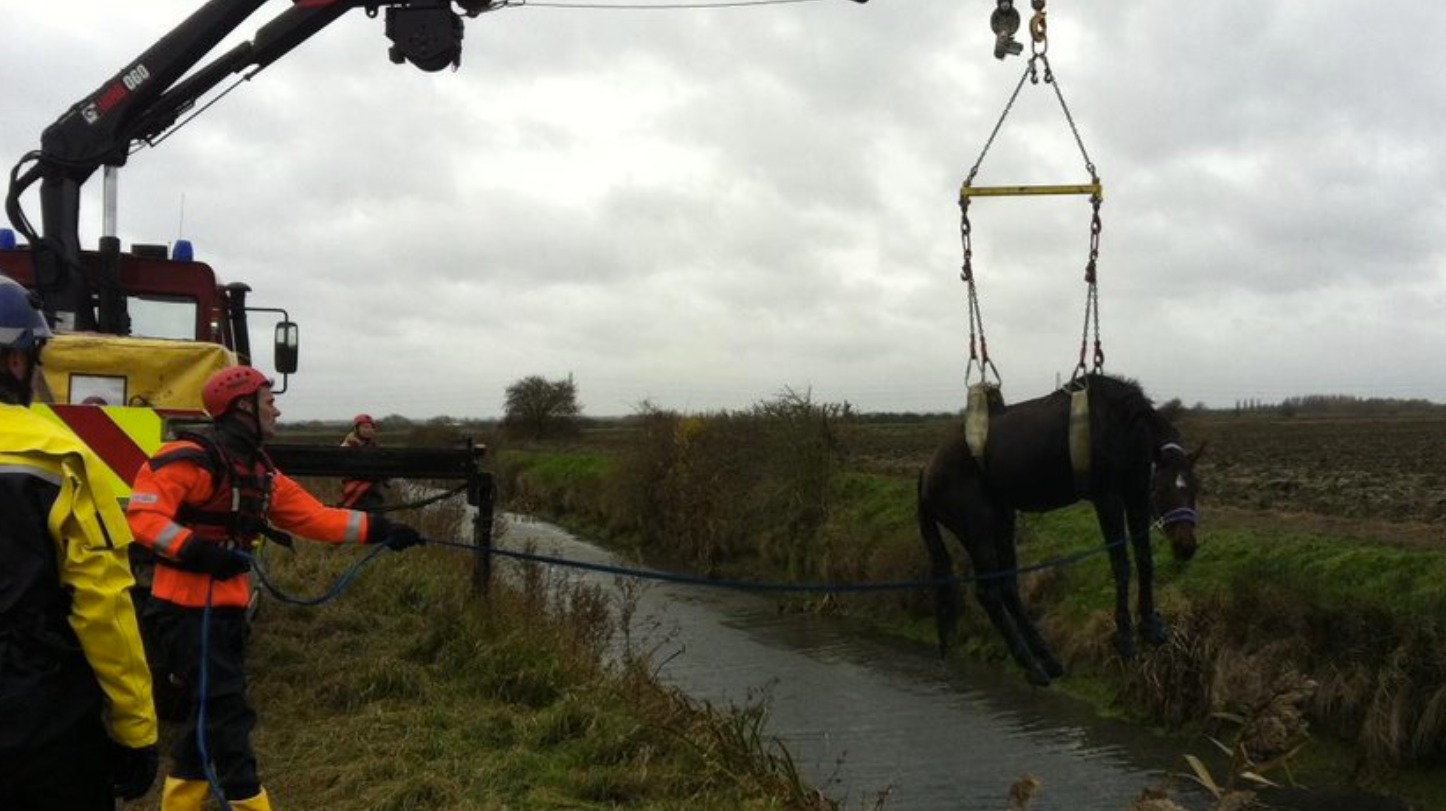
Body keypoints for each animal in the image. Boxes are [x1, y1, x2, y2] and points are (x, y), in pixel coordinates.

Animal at [916, 373, 1201, 686]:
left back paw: (1046, 657)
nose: (1186, 546)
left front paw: (1150, 626)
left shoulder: (1135, 493)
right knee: (989, 594)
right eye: (1160, 490)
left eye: (1196, 488)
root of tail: (927, 470)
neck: (1118, 423)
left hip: (1003, 522)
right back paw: (1031, 665)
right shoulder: (1108, 498)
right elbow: (1122, 564)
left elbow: (1145, 560)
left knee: (1008, 587)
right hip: (977, 533)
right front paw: (1125, 637)